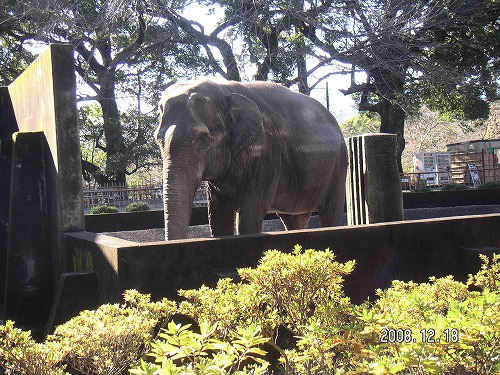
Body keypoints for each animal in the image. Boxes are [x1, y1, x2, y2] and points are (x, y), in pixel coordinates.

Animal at [154, 78, 346, 241]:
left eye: (203, 139)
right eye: (158, 139)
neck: (224, 90)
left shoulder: (264, 155)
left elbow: (249, 215)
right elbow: (218, 216)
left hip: (339, 168)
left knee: (330, 214)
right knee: (295, 219)